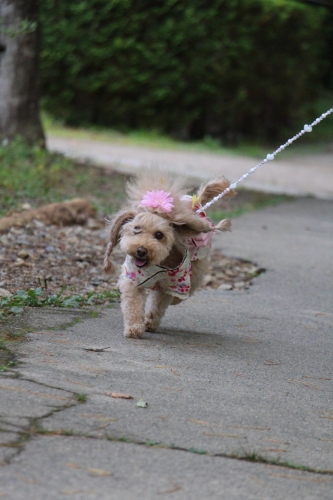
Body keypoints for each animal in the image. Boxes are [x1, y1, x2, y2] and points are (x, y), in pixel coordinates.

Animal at [102, 170, 235, 338]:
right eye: (137, 229)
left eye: (159, 235)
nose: (141, 250)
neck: (155, 266)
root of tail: (196, 203)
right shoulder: (132, 280)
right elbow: (133, 305)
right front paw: (134, 329)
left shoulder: (170, 284)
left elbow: (157, 305)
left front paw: (149, 323)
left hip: (197, 266)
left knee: (190, 286)